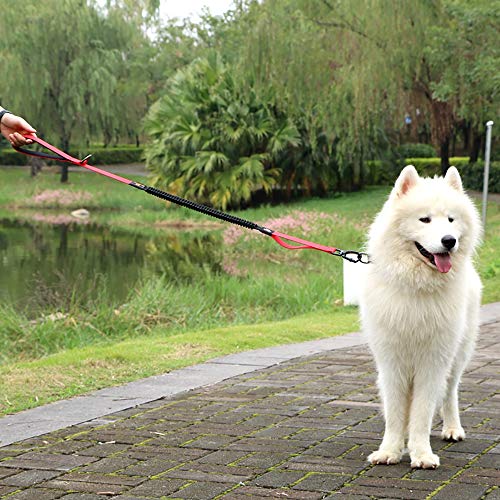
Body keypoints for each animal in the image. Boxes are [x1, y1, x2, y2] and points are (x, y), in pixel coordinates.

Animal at [362, 165, 482, 468]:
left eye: (450, 219)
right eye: (424, 219)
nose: (449, 241)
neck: (418, 285)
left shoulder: (433, 361)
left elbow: (422, 413)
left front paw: (421, 454)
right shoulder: (392, 362)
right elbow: (395, 413)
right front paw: (390, 451)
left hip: (457, 355)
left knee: (449, 393)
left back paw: (452, 429)